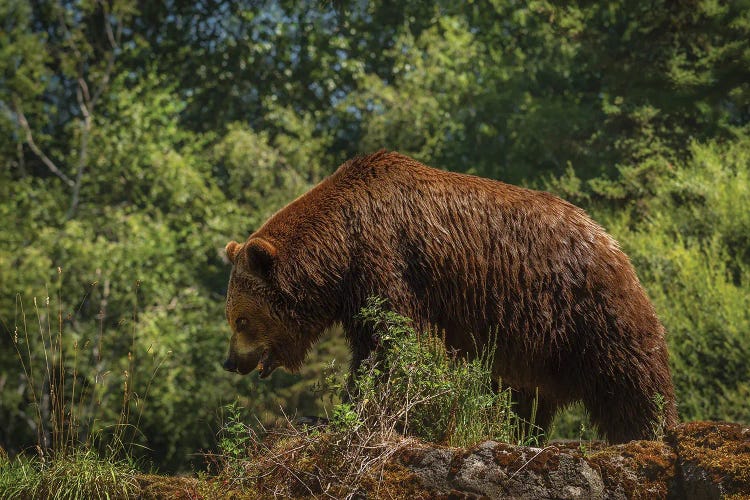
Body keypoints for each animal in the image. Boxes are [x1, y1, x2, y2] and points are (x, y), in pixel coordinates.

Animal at [223, 149, 680, 442]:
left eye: (241, 319)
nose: (231, 362)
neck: (341, 249)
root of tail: (609, 241)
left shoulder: (386, 261)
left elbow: (390, 341)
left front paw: (346, 410)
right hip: (531, 341)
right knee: (523, 396)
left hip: (584, 307)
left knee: (628, 375)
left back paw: (651, 431)